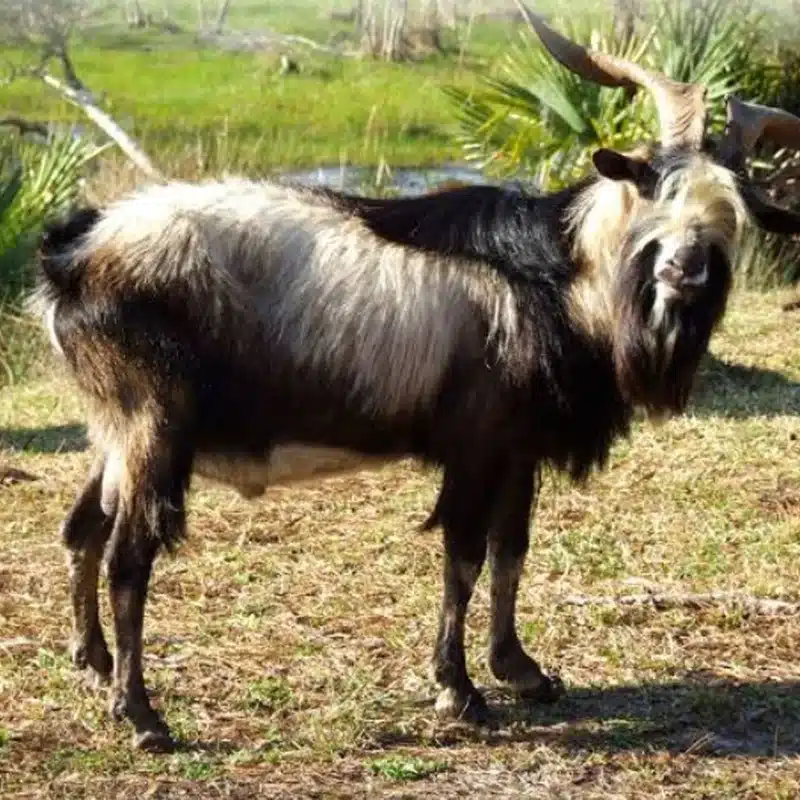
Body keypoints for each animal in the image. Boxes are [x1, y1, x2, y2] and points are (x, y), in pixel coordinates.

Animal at [28, 12, 800, 752]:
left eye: (731, 213)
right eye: (654, 189)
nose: (683, 270)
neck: (561, 275)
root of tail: (75, 251)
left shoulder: (517, 449)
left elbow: (511, 549)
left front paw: (520, 670)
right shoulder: (476, 445)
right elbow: (463, 554)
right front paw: (459, 691)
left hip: (116, 433)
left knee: (83, 528)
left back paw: (94, 665)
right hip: (155, 427)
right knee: (128, 558)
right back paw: (142, 716)